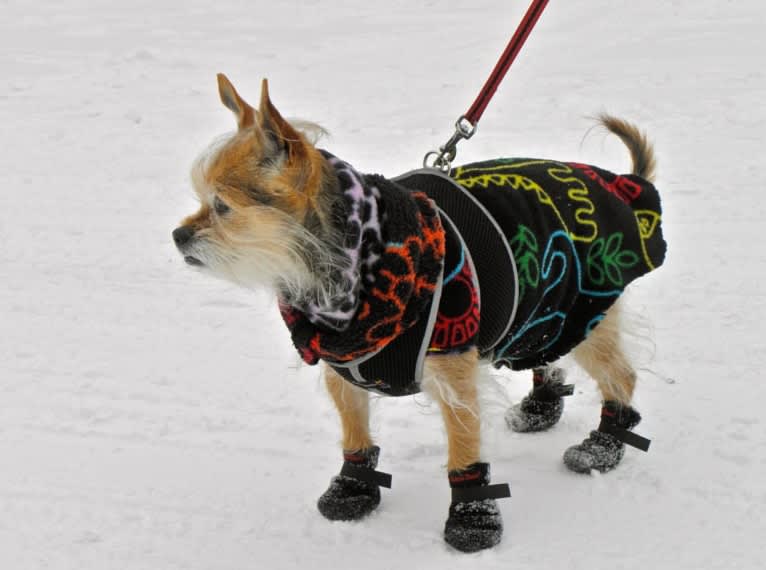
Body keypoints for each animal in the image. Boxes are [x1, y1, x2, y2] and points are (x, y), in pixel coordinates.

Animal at [172, 75, 664, 552]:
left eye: (222, 207)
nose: (178, 236)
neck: (357, 263)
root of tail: (623, 186)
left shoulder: (454, 374)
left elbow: (464, 449)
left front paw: (472, 522)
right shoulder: (343, 371)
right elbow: (355, 435)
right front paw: (353, 488)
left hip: (582, 306)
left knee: (621, 377)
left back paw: (604, 445)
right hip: (544, 307)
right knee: (546, 351)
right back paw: (540, 406)